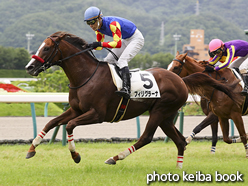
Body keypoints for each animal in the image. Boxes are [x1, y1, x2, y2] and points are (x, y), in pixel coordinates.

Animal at [25, 31, 240, 168]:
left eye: (47, 48)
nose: (29, 67)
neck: (87, 76)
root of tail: (180, 79)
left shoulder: (97, 114)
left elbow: (69, 126)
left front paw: (76, 155)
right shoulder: (76, 110)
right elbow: (51, 122)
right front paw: (31, 149)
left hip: (160, 111)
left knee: (146, 137)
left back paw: (115, 157)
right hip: (166, 116)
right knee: (180, 141)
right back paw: (178, 169)